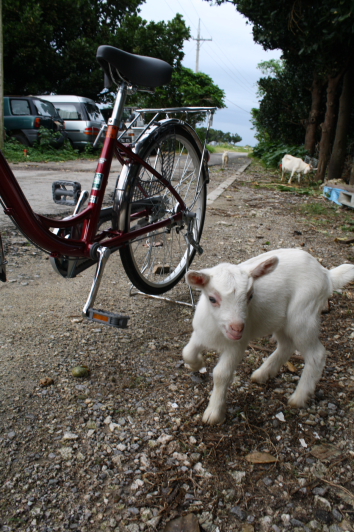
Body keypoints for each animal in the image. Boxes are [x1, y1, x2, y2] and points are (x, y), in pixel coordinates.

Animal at [183, 247, 354, 426]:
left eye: (251, 296)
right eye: (212, 299)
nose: (237, 328)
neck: (217, 330)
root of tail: (326, 274)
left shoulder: (237, 345)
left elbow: (221, 374)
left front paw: (213, 413)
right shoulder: (200, 334)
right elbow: (187, 352)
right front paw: (197, 364)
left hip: (303, 317)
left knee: (316, 354)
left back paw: (298, 397)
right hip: (281, 320)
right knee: (286, 345)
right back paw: (263, 373)